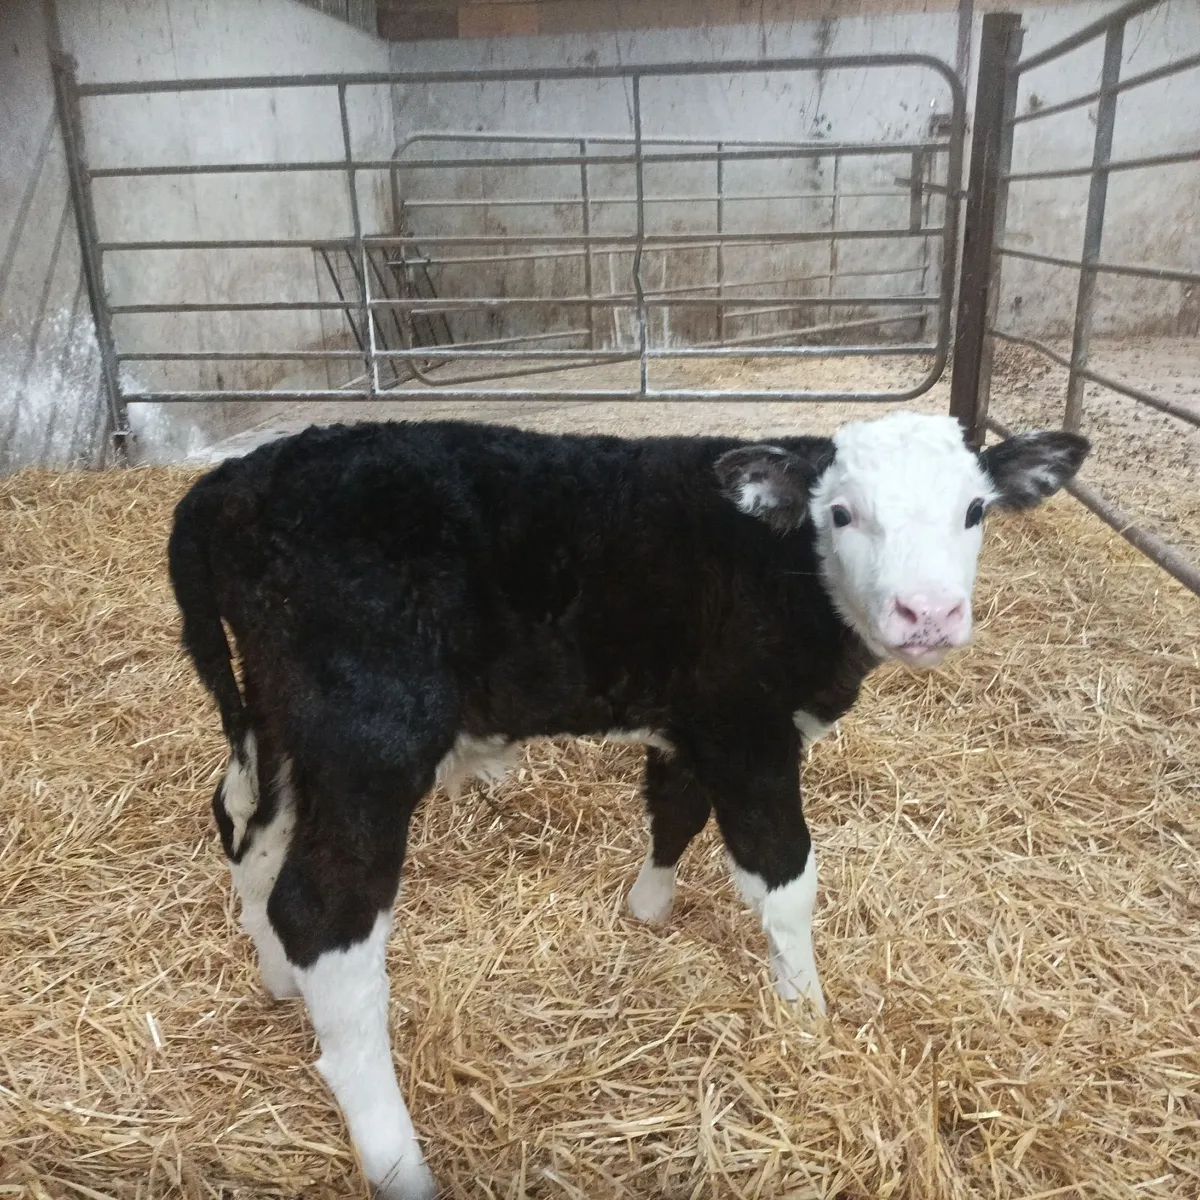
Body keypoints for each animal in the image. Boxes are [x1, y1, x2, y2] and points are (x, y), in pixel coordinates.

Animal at [167, 411, 1088, 1198]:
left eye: (975, 510)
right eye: (842, 513)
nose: (928, 613)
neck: (783, 567)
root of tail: (235, 482)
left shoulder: (690, 723)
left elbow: (674, 811)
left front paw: (648, 908)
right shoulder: (747, 728)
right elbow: (784, 877)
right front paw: (806, 1015)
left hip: (280, 725)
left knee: (248, 835)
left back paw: (278, 982)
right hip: (367, 735)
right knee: (324, 914)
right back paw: (399, 1161)